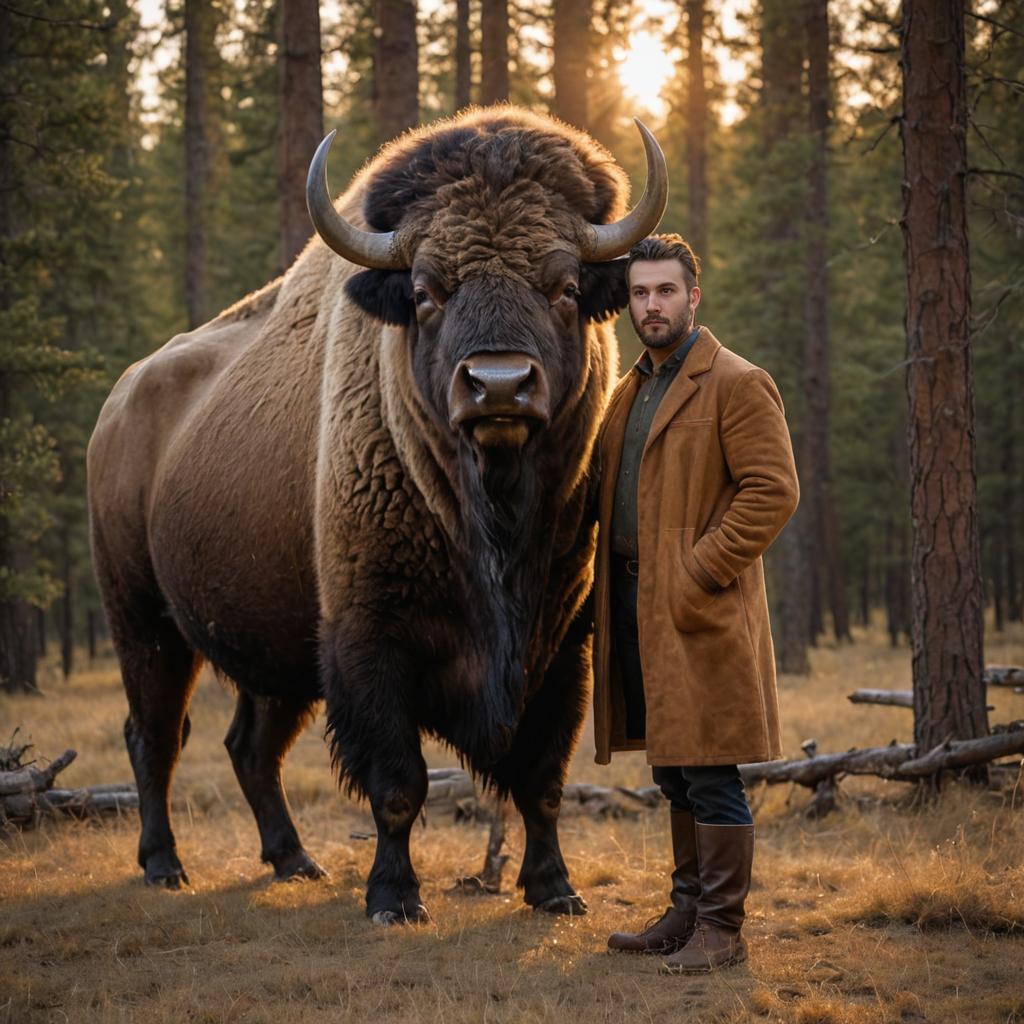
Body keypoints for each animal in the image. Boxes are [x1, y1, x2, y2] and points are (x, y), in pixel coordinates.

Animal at [86, 108, 663, 925]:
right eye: (425, 292)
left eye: (565, 285)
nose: (498, 386)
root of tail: (120, 403)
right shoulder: (370, 639)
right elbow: (398, 785)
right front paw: (395, 899)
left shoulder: (561, 647)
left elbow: (541, 780)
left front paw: (556, 890)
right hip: (143, 620)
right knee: (155, 735)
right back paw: (165, 864)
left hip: (277, 650)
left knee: (249, 746)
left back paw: (295, 860)